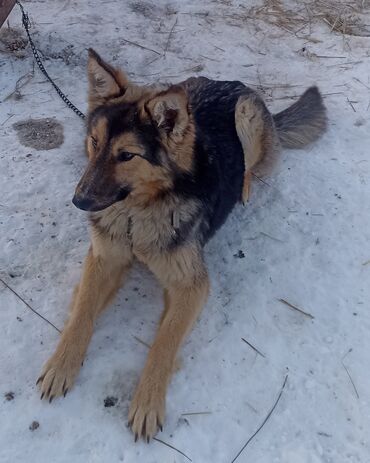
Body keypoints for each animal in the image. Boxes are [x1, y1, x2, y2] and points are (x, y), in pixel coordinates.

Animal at [37, 49, 326, 444]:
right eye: (94, 143)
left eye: (127, 155)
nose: (79, 202)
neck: (137, 215)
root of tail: (230, 83)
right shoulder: (103, 258)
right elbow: (82, 314)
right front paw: (61, 365)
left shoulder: (192, 286)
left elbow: (163, 343)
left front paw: (147, 403)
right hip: (188, 87)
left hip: (245, 114)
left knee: (251, 167)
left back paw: (244, 188)